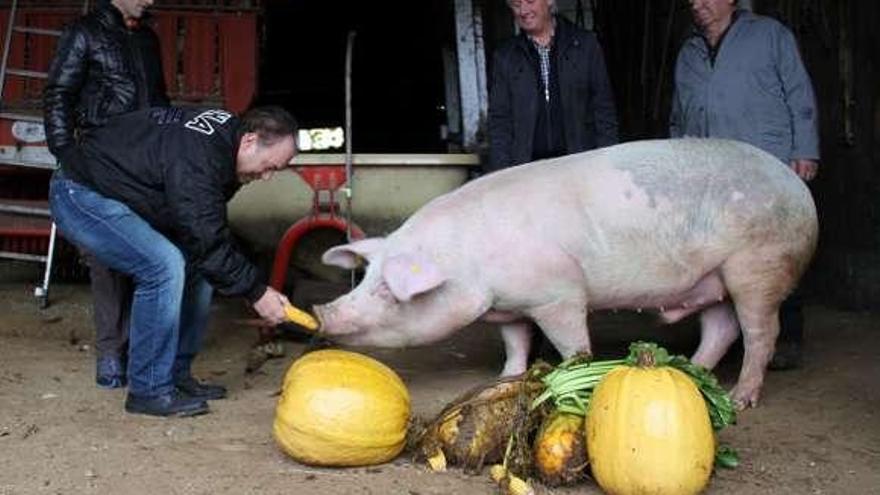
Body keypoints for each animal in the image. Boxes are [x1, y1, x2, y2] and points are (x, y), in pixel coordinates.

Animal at [314, 138, 820, 408]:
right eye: (364, 278)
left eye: (387, 290)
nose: (323, 311)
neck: (468, 262)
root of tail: (797, 187)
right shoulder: (513, 305)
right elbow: (515, 343)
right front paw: (504, 379)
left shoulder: (558, 295)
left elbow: (572, 344)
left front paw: (574, 372)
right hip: (710, 280)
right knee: (720, 328)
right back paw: (692, 372)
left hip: (758, 267)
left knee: (760, 332)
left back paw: (740, 399)